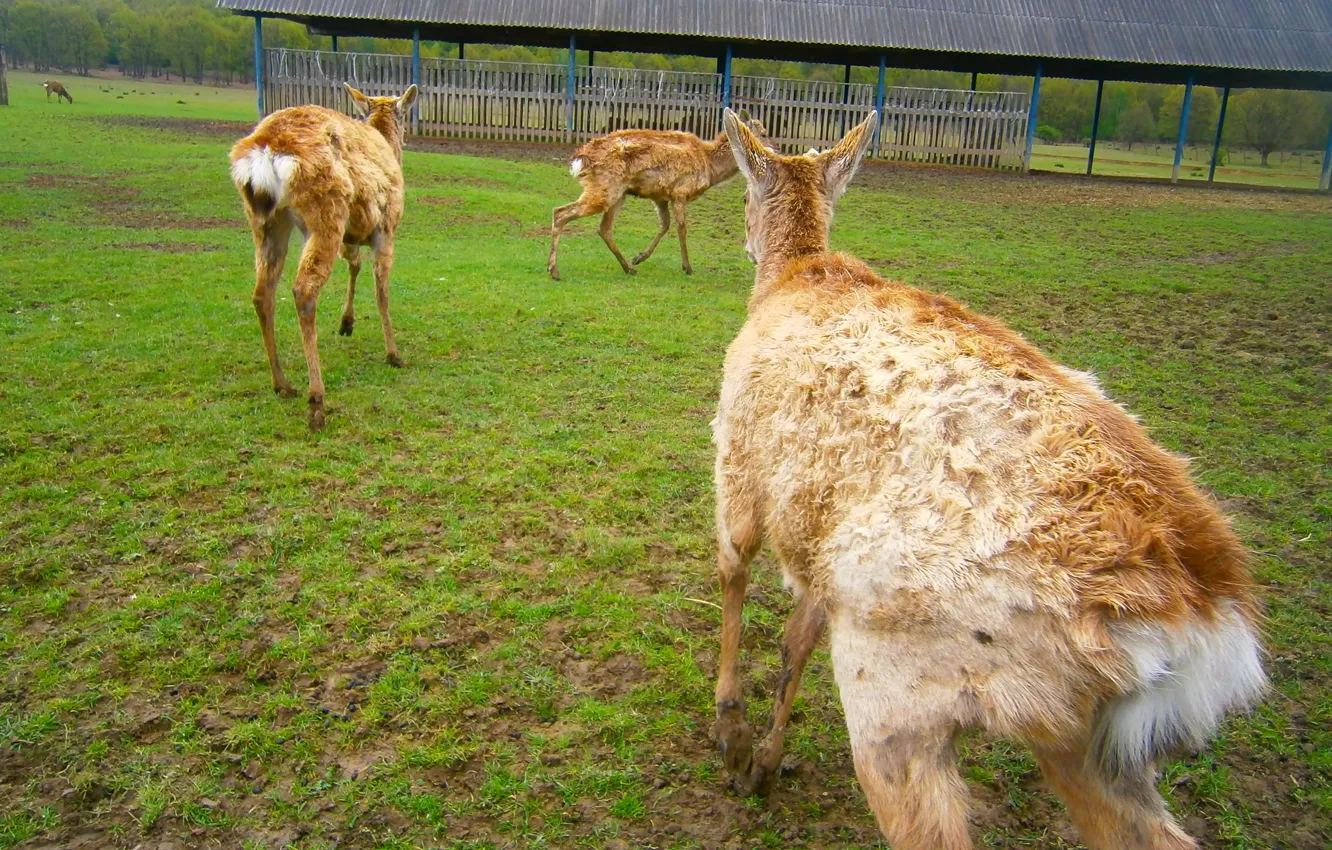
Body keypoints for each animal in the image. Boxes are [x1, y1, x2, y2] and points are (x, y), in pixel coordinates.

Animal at [229, 83, 417, 431]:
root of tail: (264, 151)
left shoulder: (351, 236)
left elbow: (354, 265)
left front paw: (347, 323)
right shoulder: (386, 227)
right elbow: (381, 290)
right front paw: (394, 354)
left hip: (265, 222)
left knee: (262, 293)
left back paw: (282, 384)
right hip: (326, 213)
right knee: (303, 290)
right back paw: (317, 401)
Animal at [547, 113, 765, 281]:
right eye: (763, 133)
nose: (771, 149)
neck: (710, 167)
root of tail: (579, 159)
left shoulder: (660, 196)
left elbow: (664, 225)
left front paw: (639, 257)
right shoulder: (680, 191)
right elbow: (681, 228)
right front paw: (687, 267)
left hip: (618, 193)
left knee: (604, 228)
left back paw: (629, 268)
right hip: (604, 188)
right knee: (560, 212)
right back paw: (554, 270)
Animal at [709, 109, 1265, 850]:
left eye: (742, 194)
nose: (742, 243)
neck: (795, 275)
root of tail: (1205, 623)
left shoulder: (739, 466)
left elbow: (734, 579)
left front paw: (732, 738)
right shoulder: (822, 544)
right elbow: (795, 640)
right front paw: (769, 761)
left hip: (896, 686)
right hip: (1089, 743)